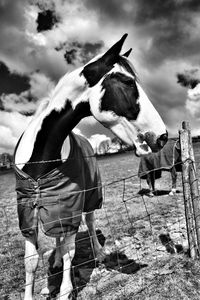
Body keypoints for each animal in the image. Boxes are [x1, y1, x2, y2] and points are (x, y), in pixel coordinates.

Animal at [13, 33, 168, 300]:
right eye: (127, 81)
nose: (162, 136)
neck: (41, 162)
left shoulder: (72, 205)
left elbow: (70, 251)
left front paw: (65, 292)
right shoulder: (27, 212)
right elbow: (31, 260)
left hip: (90, 197)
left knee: (91, 222)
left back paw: (99, 253)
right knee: (59, 237)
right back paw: (55, 263)